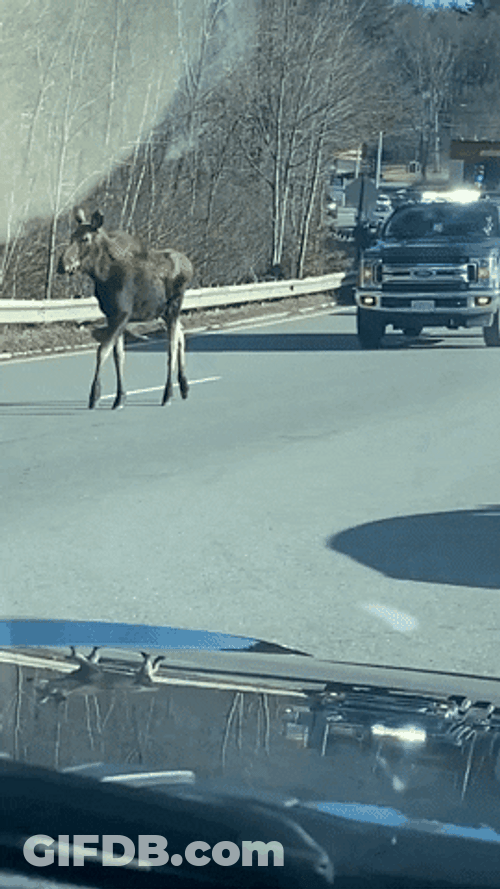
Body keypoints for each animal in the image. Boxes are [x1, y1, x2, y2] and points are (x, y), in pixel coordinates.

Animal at [57, 209, 193, 410]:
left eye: (85, 238)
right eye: (72, 236)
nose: (62, 264)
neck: (103, 275)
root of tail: (190, 265)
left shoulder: (121, 315)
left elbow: (102, 351)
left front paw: (94, 396)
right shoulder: (112, 316)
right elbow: (118, 356)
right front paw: (119, 397)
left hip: (174, 307)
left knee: (171, 347)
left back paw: (168, 394)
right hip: (162, 313)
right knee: (181, 335)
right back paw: (183, 386)